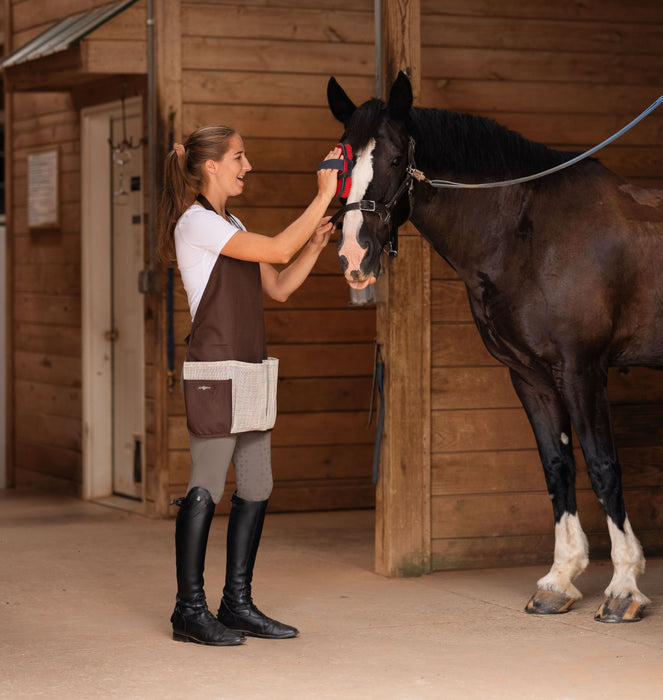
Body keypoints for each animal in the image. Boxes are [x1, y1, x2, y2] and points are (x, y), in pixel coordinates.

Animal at [328, 74, 663, 624]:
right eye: (342, 161)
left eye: (396, 159)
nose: (355, 255)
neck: (531, 234)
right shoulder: (529, 374)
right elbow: (557, 466)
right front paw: (559, 580)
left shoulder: (582, 370)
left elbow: (602, 466)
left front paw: (623, 588)